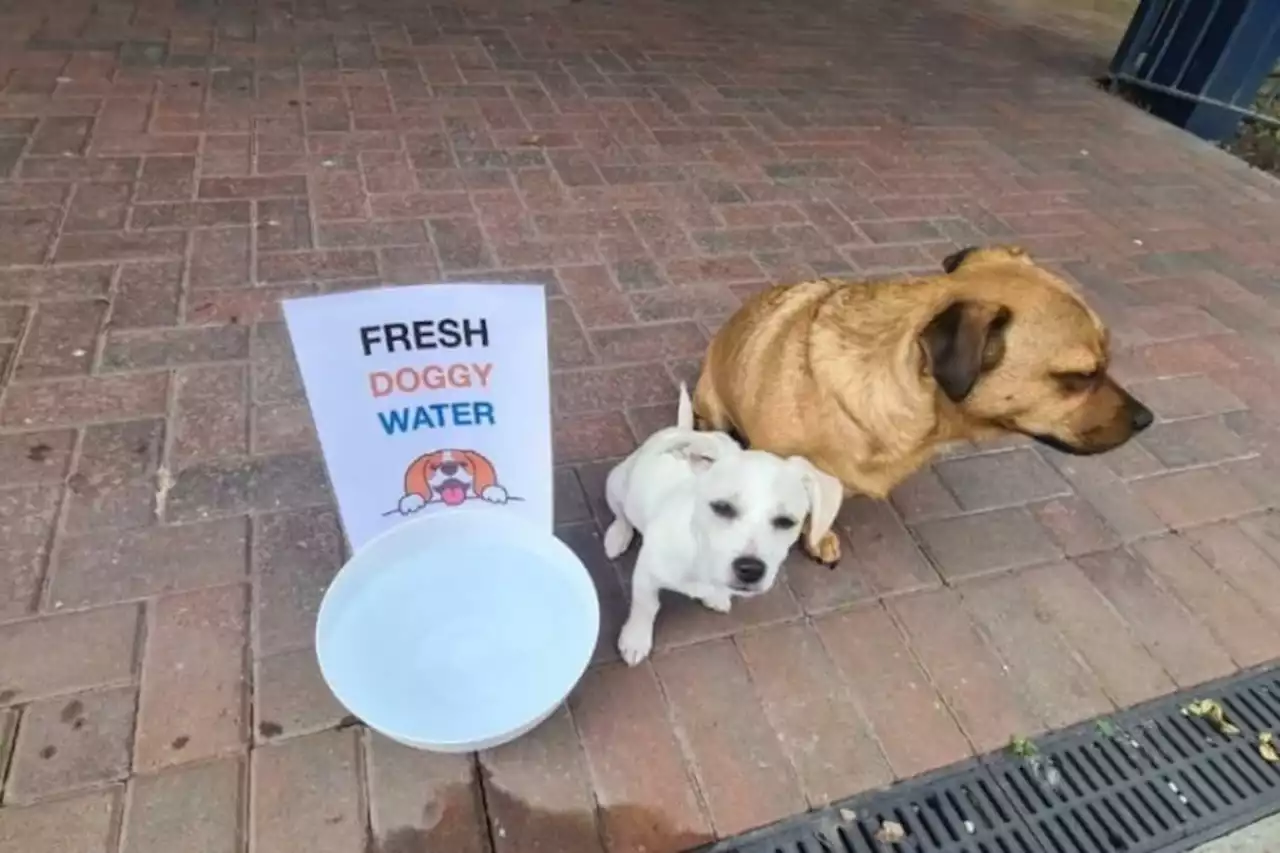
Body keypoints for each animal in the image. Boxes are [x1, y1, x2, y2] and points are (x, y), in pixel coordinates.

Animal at [604, 384, 844, 666]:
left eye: (786, 522)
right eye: (722, 507)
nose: (750, 570)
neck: (702, 558)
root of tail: (681, 430)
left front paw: (716, 596)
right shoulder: (646, 573)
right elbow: (646, 606)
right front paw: (635, 639)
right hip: (616, 483)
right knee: (622, 515)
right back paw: (617, 536)